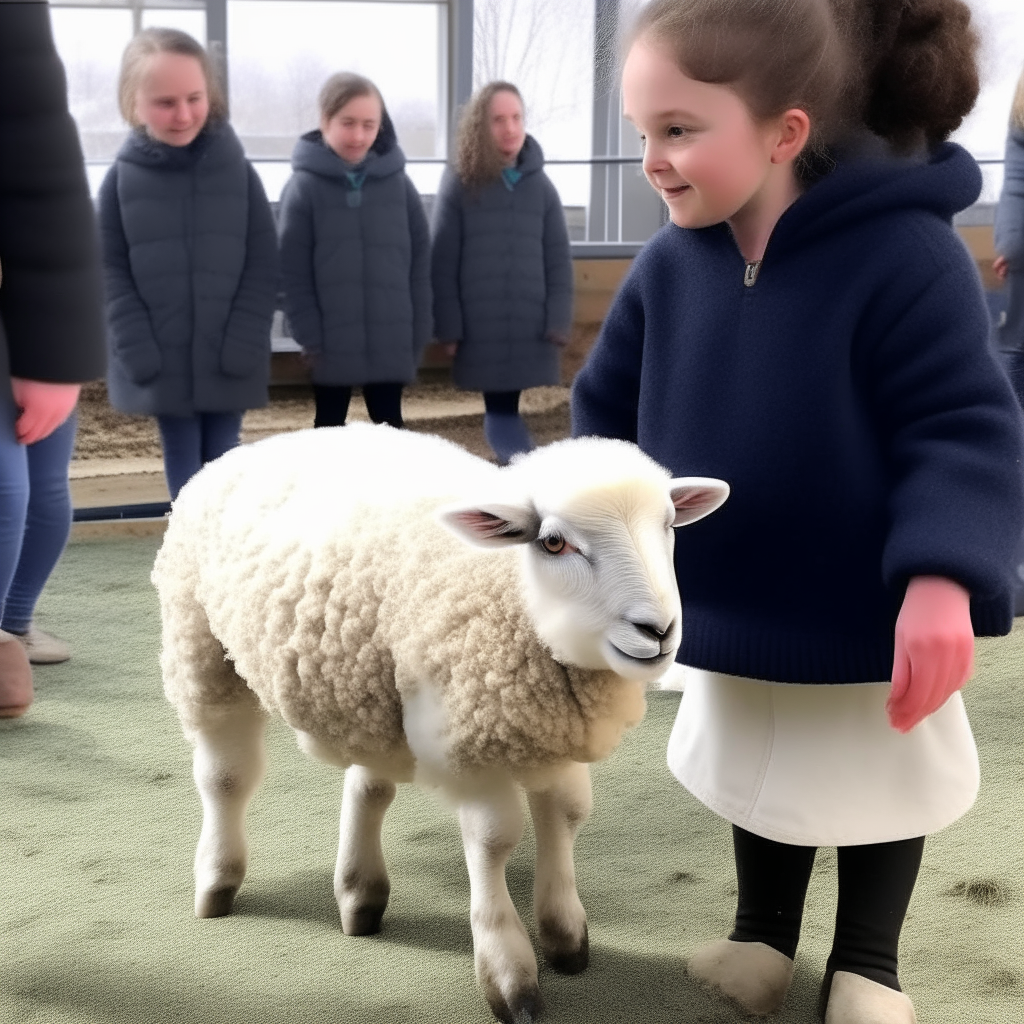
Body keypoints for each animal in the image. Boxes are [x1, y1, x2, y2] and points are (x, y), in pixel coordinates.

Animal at [149, 419, 729, 1019]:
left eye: (669, 524)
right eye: (552, 541)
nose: (658, 630)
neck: (516, 596)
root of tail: (263, 443)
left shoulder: (549, 730)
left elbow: (566, 815)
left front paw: (566, 936)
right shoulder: (466, 741)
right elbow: (495, 840)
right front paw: (508, 973)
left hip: (372, 685)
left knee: (368, 783)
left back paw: (359, 893)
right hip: (201, 648)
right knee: (225, 776)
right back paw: (217, 881)